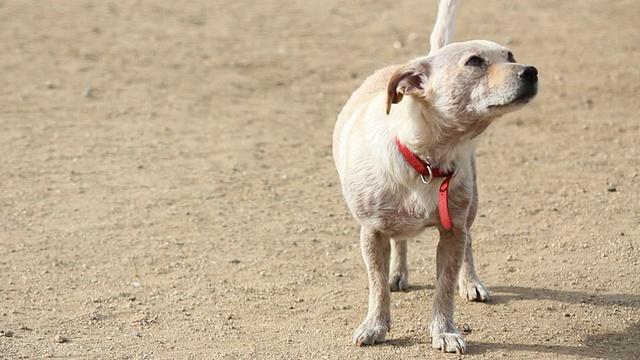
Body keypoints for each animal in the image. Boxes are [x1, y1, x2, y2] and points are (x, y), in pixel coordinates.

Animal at [332, 0, 536, 354]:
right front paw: (375, 326)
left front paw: (446, 332)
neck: (427, 160)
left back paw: (471, 283)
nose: (532, 71)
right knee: (398, 242)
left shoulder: (452, 232)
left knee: (469, 244)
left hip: (471, 205)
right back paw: (397, 273)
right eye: (474, 61)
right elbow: (377, 286)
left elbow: (444, 288)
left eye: (510, 55)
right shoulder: (371, 232)